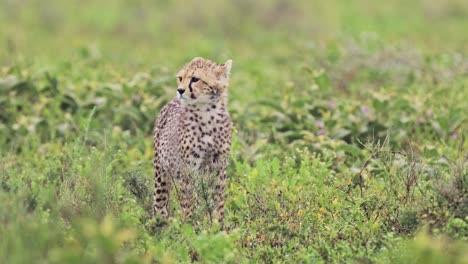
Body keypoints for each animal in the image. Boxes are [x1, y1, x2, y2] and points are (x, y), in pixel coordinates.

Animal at [153, 56, 233, 223]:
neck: (207, 112)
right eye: (180, 78)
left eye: (195, 79)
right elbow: (188, 199)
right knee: (160, 200)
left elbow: (218, 197)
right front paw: (190, 223)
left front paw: (217, 223)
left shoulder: (219, 164)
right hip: (160, 169)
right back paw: (160, 223)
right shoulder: (189, 168)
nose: (180, 90)